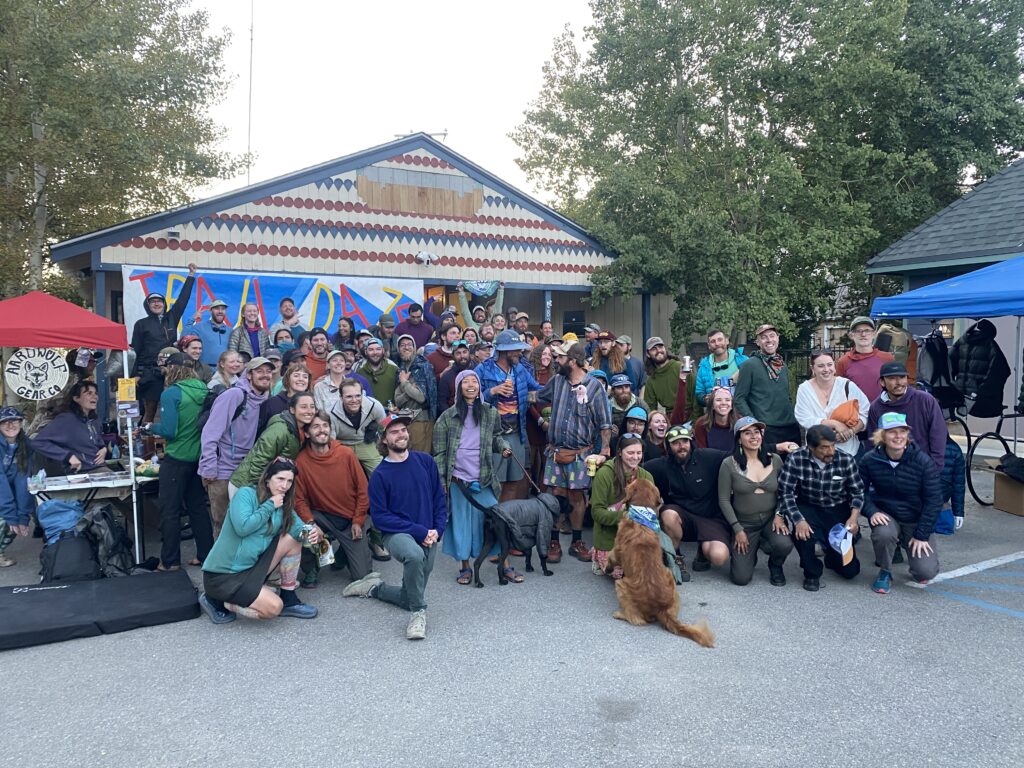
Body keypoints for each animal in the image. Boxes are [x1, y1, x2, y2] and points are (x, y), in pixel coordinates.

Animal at [602, 481, 716, 651]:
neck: (641, 515)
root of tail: (661, 609)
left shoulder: (617, 550)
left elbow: (610, 556)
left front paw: (607, 567)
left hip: (621, 585)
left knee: (636, 619)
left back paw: (619, 614)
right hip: (670, 576)